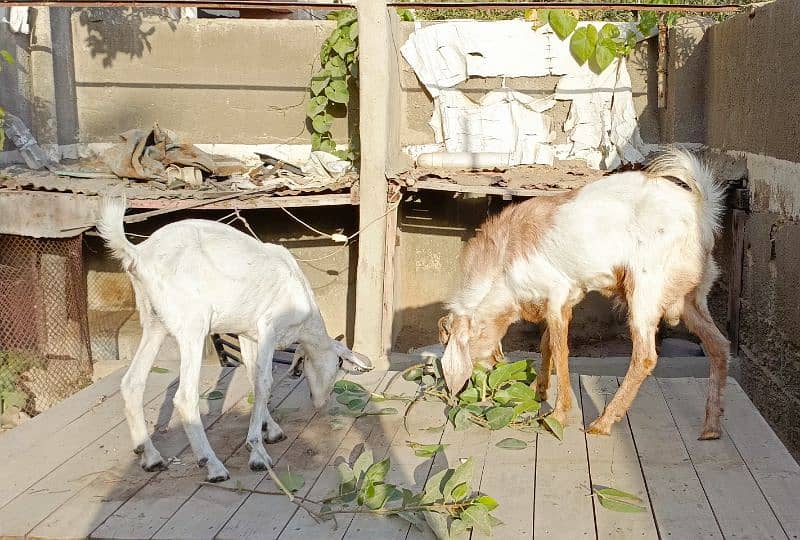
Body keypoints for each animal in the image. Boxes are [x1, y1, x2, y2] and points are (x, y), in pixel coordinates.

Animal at [97, 200, 372, 484]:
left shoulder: (248, 334)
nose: (321, 403)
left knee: (132, 382)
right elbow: (265, 381)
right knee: (185, 397)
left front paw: (270, 430)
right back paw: (212, 465)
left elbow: (253, 376)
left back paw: (150, 457)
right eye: (339, 363)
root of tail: (139, 255)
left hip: (154, 324)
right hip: (193, 325)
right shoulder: (268, 327)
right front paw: (257, 452)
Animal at [438, 150, 732, 440]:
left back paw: (603, 422)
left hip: (644, 293)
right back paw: (711, 428)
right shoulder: (566, 299)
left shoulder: (556, 295)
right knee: (718, 345)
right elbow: (546, 343)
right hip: (690, 298)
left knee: (645, 357)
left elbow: (560, 350)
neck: (503, 261)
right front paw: (539, 391)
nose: (466, 387)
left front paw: (557, 416)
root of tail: (701, 209)